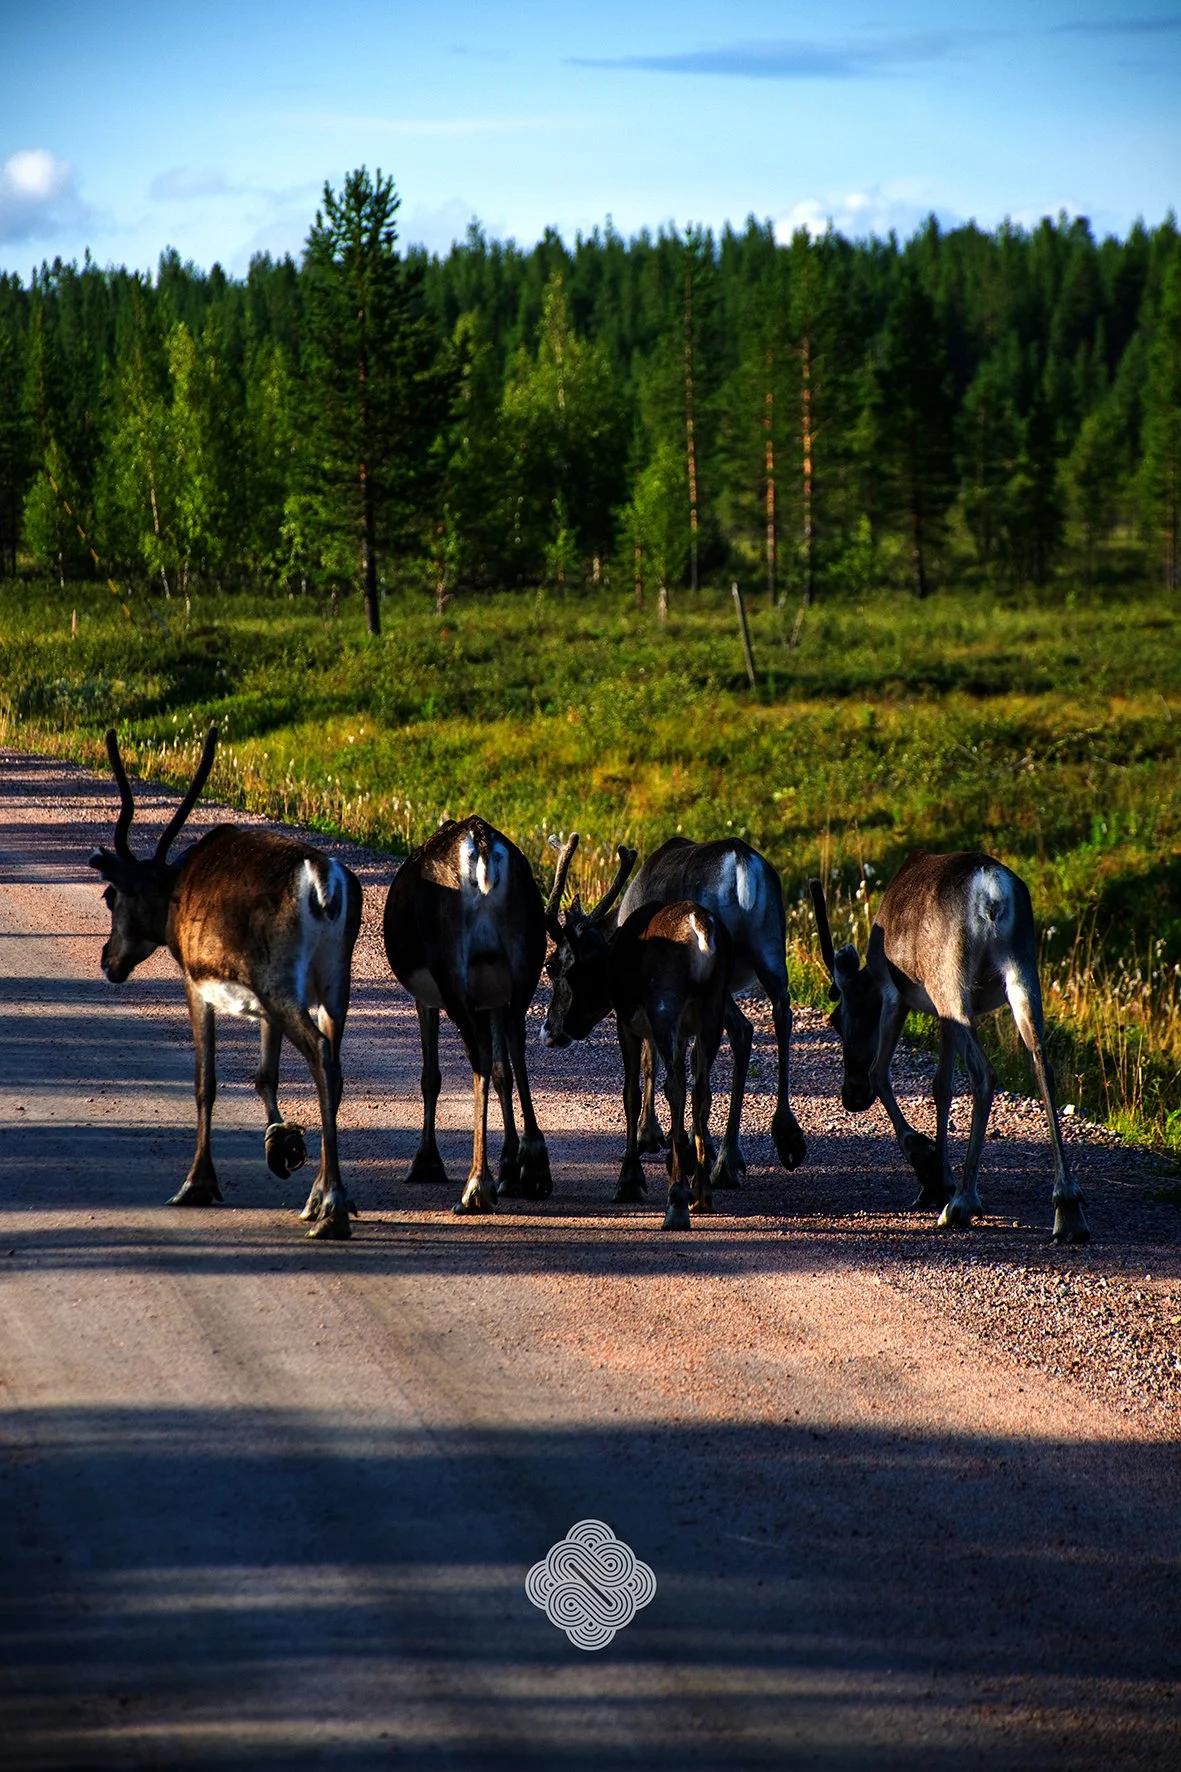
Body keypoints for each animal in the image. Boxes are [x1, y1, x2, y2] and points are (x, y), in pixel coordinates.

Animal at [88, 727, 363, 1239]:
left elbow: (206, 1082)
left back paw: (332, 1208)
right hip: (333, 985)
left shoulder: (197, 984)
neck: (173, 897)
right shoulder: (264, 1008)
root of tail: (325, 885)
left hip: (281, 981)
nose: (107, 960)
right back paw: (321, 1196)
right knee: (333, 1064)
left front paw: (196, 1184)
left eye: (110, 895)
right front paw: (281, 1143)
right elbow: (264, 1075)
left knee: (319, 1053)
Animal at [382, 816, 552, 1214]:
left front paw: (426, 1162)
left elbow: (431, 1077)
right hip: (525, 961)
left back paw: (477, 1185)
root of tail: (483, 845)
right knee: (517, 1046)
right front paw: (511, 1166)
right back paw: (535, 1167)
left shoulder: (426, 998)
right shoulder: (493, 998)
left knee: (479, 1057)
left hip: (450, 970)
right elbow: (504, 1072)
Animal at [542, 834, 807, 1188]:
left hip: (719, 981)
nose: (550, 1031)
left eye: (552, 965)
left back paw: (724, 1157)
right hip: (771, 951)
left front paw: (649, 1135)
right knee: (777, 1017)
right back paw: (766, 1142)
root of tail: (742, 865)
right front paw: (686, 1140)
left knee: (741, 1029)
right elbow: (684, 1056)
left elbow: (650, 1058)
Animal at [810, 851, 1088, 1244]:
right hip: (1021, 970)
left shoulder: (893, 995)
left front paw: (926, 1163)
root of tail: (992, 894)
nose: (851, 1096)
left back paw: (962, 1203)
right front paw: (938, 1177)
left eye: (836, 1019)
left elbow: (880, 1073)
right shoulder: (942, 1018)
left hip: (950, 980)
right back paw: (1068, 1207)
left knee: (983, 1072)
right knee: (1041, 1064)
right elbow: (941, 1085)